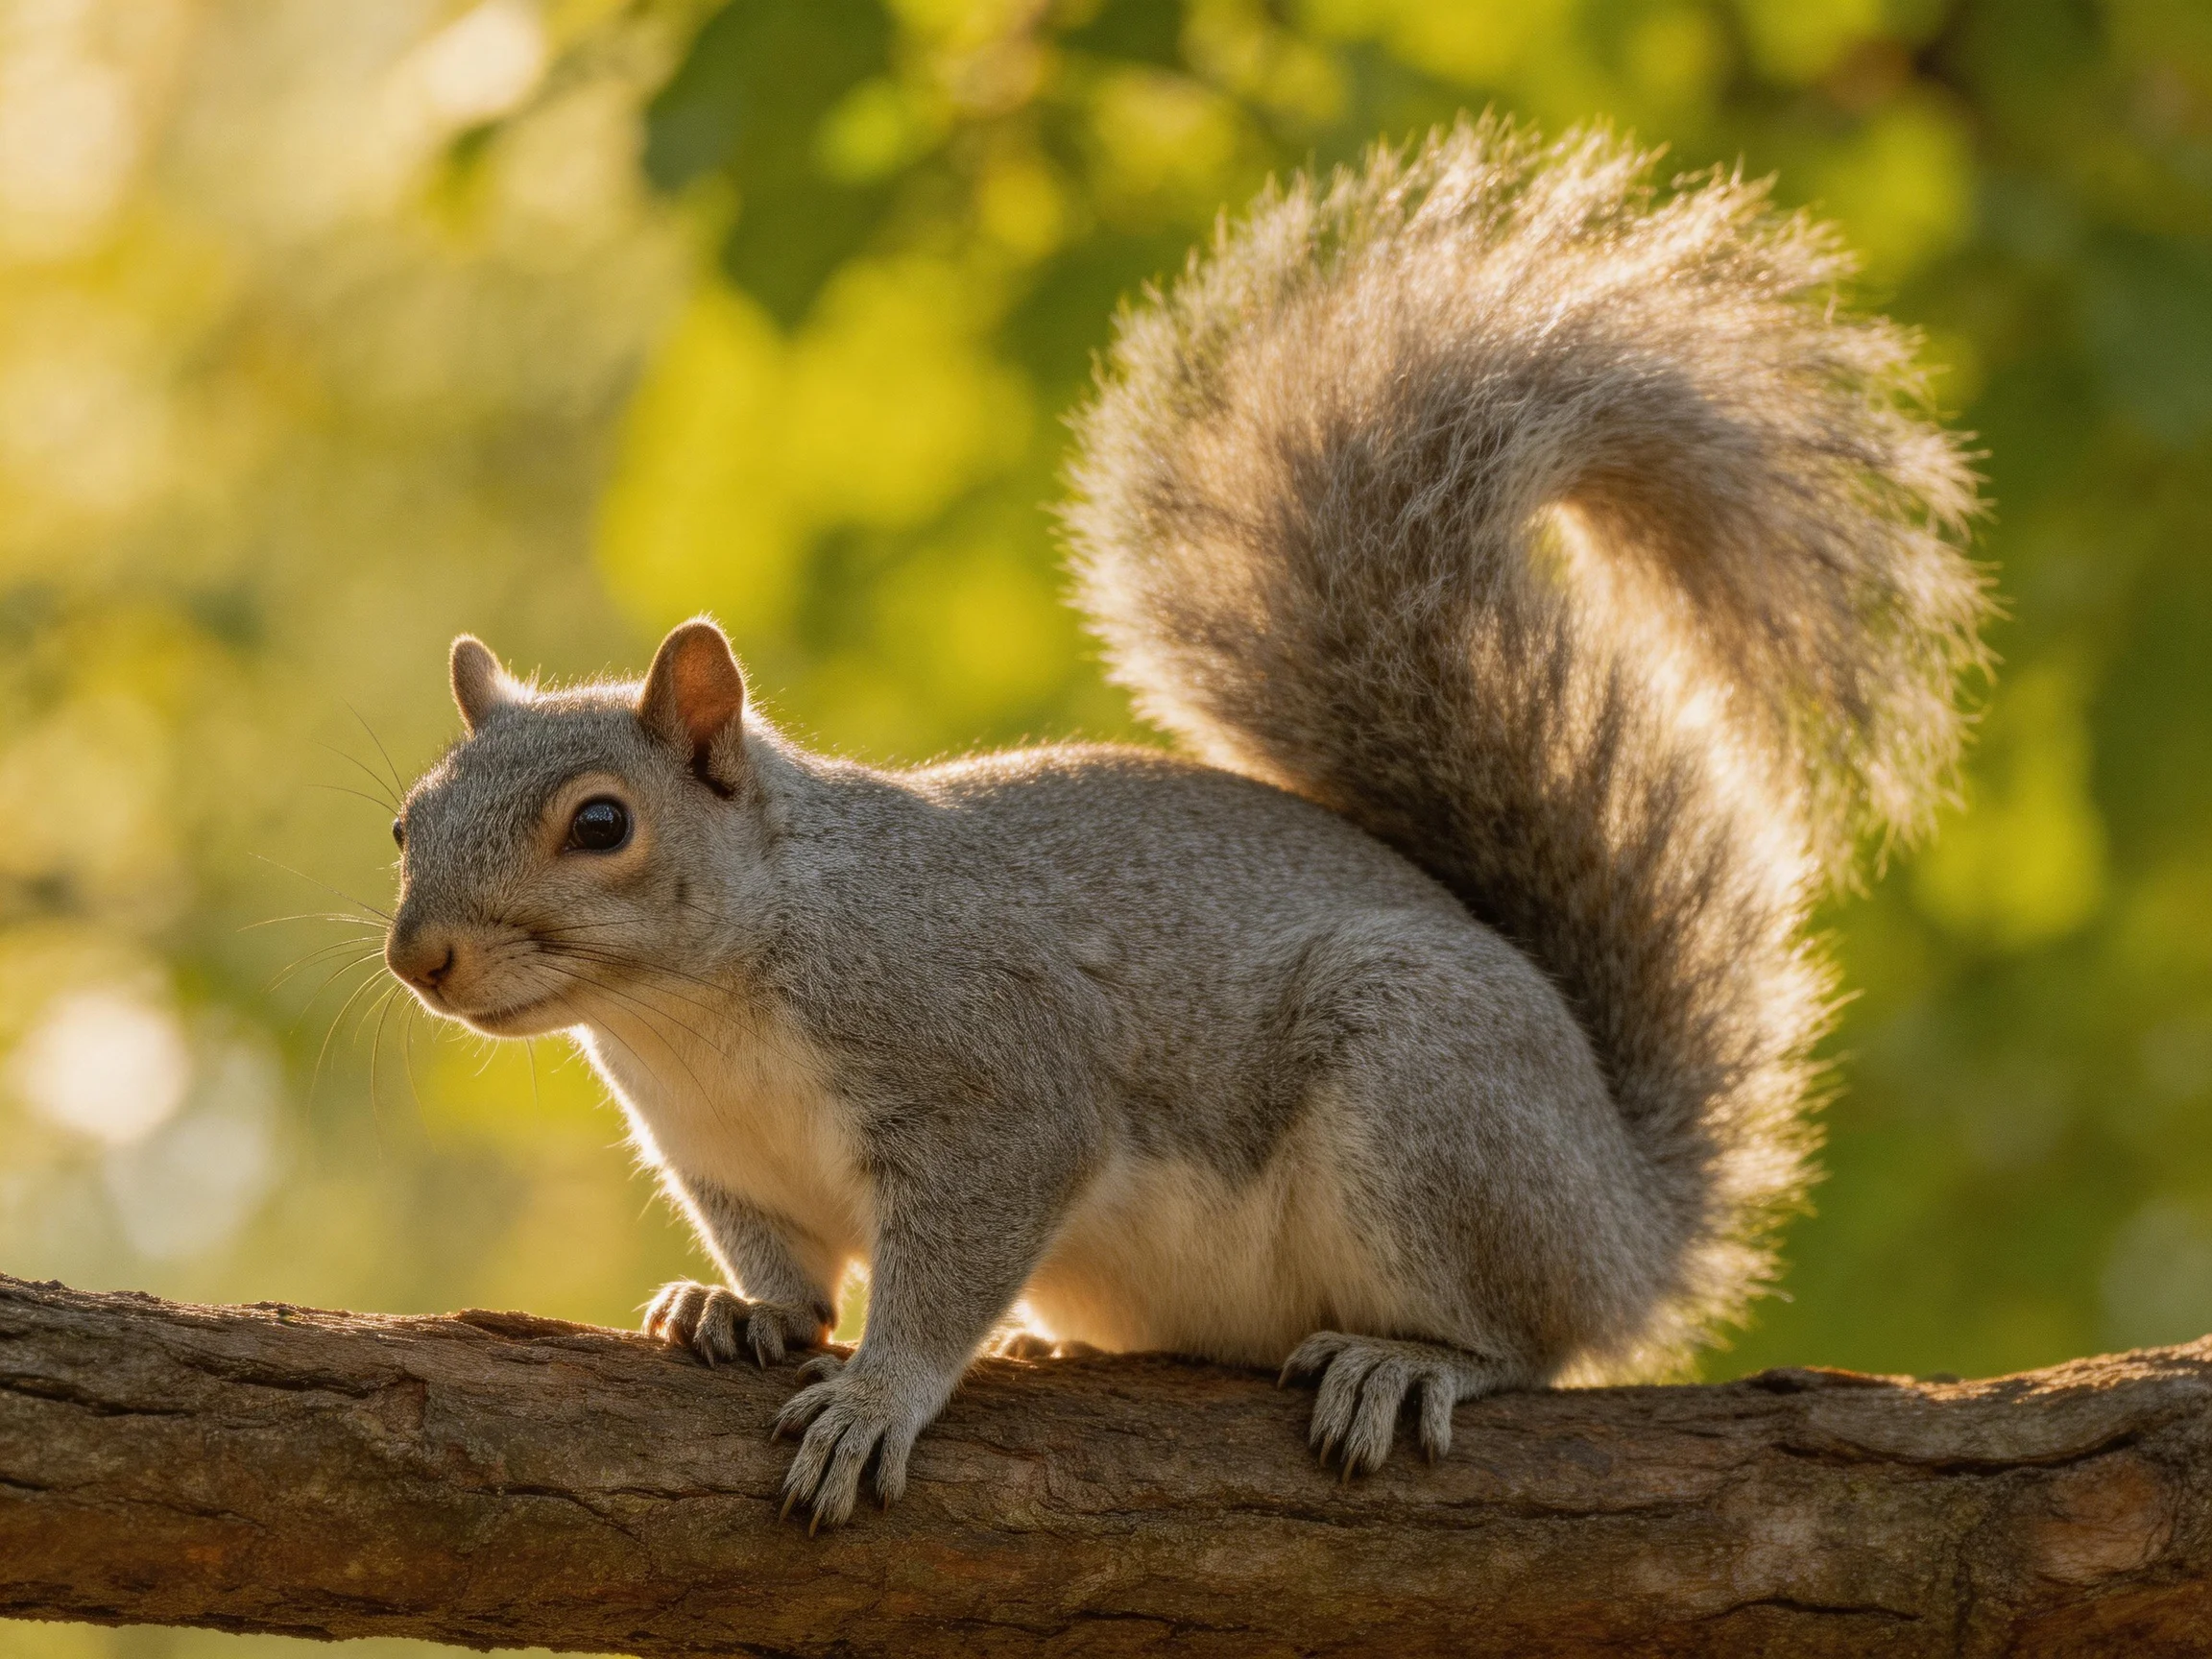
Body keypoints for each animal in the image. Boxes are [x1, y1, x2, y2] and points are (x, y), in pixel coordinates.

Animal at [383, 120, 1986, 1529]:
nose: (422, 960)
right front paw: (736, 1310)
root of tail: (1628, 1217)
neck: (701, 1010)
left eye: (602, 823)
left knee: (1527, 1343)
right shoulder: (724, 1162)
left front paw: (878, 1399)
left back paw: (1409, 1359)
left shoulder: (994, 1080)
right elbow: (783, 1269)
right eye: (407, 822)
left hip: (1425, 1102)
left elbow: (951, 1267)